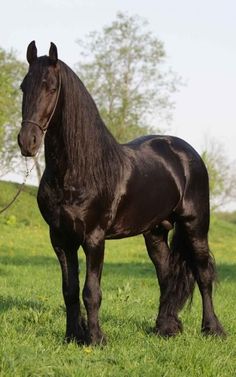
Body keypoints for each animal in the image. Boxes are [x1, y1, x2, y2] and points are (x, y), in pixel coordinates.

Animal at [18, 41, 225, 344]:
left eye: (51, 87)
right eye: (23, 87)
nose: (27, 142)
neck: (77, 171)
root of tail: (186, 153)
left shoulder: (94, 238)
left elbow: (91, 291)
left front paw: (96, 338)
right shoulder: (60, 238)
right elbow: (69, 290)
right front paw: (73, 336)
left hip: (195, 226)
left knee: (203, 274)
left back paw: (212, 329)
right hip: (155, 233)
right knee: (166, 275)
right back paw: (165, 327)